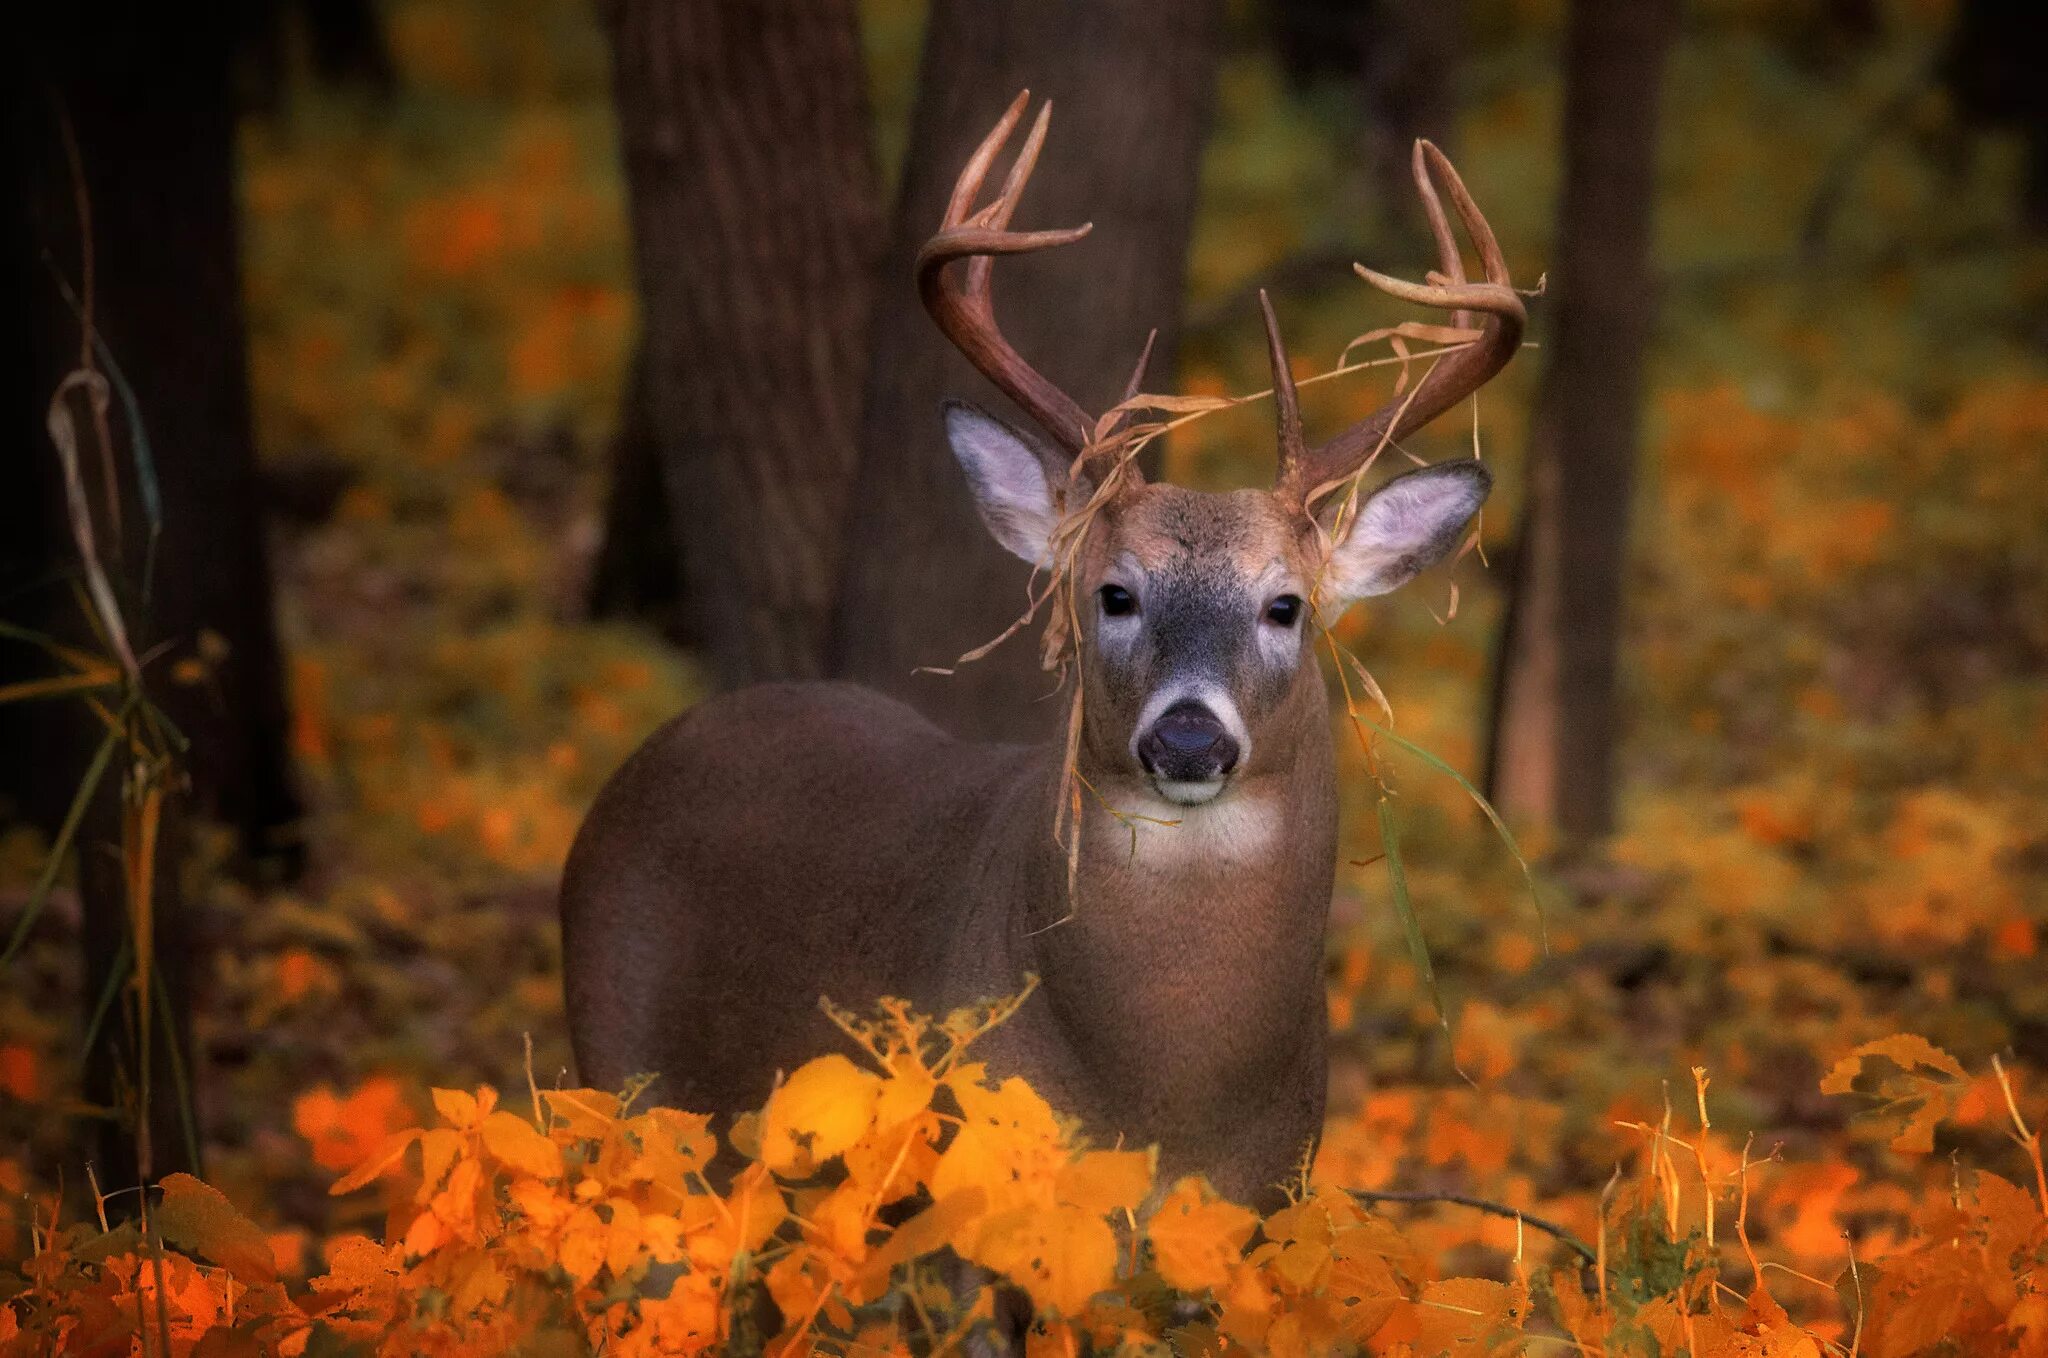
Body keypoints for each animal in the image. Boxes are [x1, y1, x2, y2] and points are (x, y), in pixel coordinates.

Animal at [561, 93, 1523, 1212]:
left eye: (1285, 605)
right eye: (1114, 593)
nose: (1187, 738)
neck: (1169, 1095)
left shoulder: (1263, 1201)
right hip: (621, 1074)